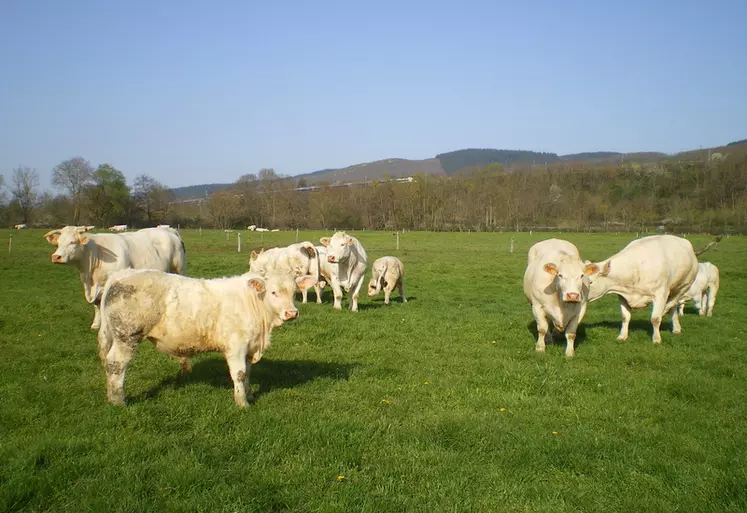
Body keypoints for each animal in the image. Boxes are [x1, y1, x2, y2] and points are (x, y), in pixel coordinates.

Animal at [42, 226, 187, 330]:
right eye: (58, 243)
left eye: (72, 242)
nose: (56, 257)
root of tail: (169, 230)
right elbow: (96, 306)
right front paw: (96, 324)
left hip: (179, 269)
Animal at [96, 268, 312, 408]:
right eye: (273, 292)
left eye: (294, 292)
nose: (292, 313)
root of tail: (121, 274)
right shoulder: (236, 346)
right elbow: (239, 373)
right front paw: (242, 403)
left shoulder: (250, 347)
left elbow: (248, 372)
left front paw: (249, 395)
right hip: (126, 337)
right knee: (116, 364)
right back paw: (119, 401)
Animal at [592, 236, 720, 344]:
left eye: (591, 282)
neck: (634, 268)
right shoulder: (623, 296)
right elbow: (625, 317)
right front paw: (622, 336)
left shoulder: (660, 294)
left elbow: (655, 319)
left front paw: (656, 339)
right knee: (673, 308)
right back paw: (676, 328)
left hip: (684, 287)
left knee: (680, 303)